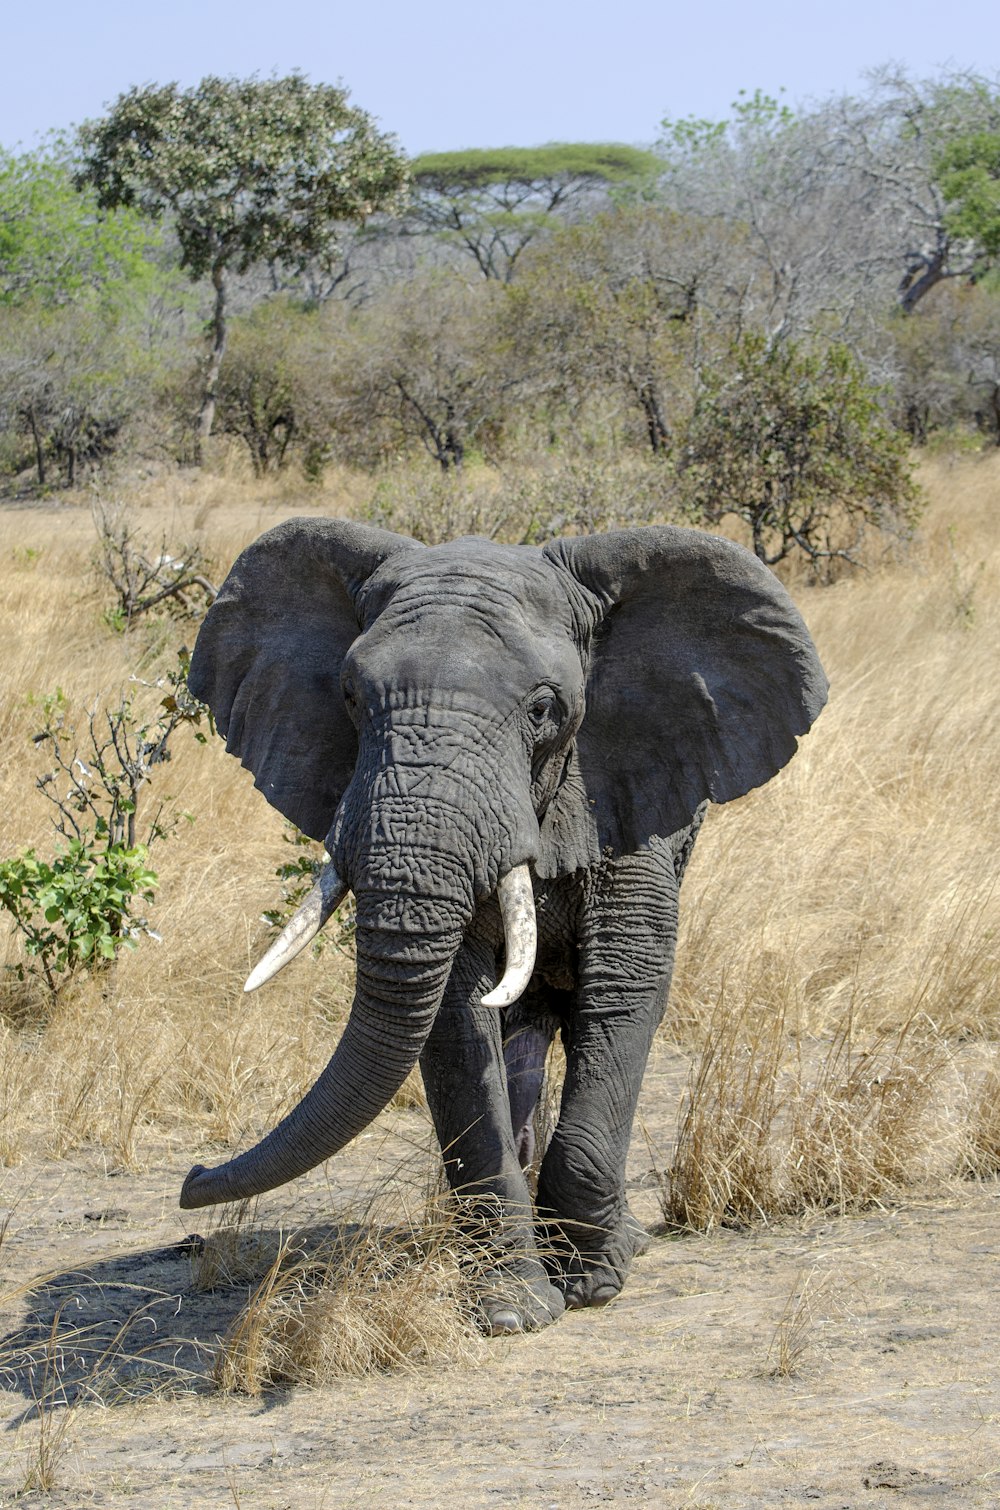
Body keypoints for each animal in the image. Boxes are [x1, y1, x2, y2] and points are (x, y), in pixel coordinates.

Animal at [180, 519, 827, 1334]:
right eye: (351, 697)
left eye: (544, 709)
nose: (192, 1176)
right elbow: (456, 1016)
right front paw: (511, 1309)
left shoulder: (628, 785)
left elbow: (623, 984)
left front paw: (592, 1282)